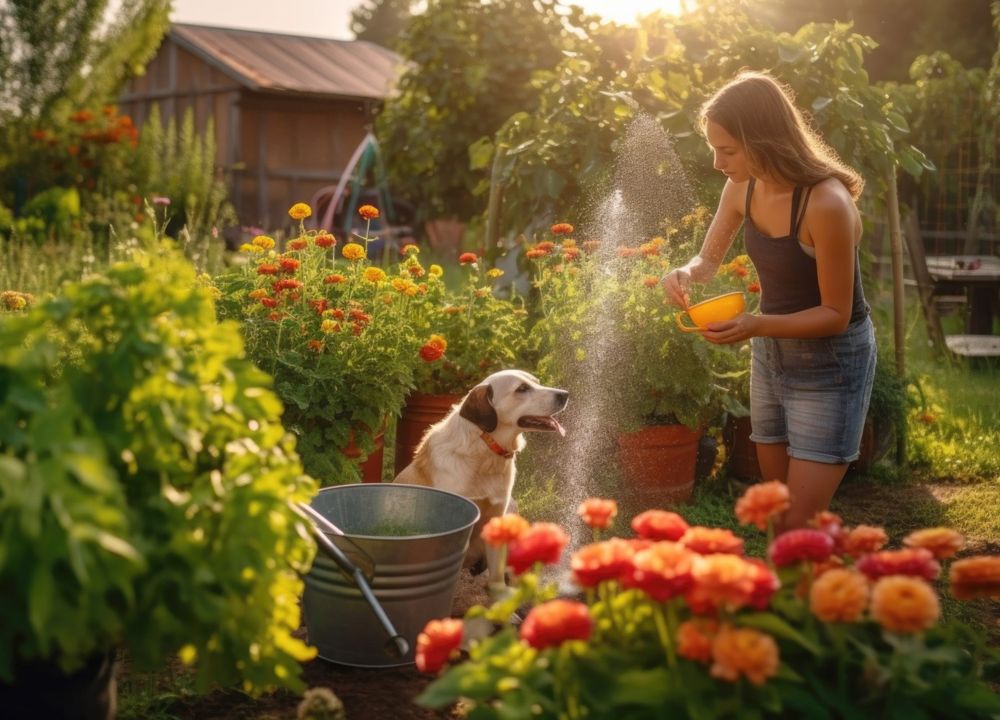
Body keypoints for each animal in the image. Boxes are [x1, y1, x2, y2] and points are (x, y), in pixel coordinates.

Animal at [398, 372, 572, 584]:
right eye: (522, 389)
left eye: (537, 383)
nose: (565, 394)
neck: (486, 450)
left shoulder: (496, 516)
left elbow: (496, 577)